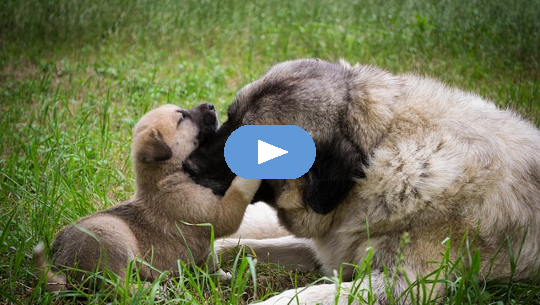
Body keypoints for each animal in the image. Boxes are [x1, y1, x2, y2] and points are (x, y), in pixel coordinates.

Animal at [33, 103, 262, 290]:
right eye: (182, 117)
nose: (211, 106)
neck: (167, 177)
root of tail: (60, 262)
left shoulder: (207, 245)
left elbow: (211, 261)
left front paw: (222, 276)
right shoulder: (218, 215)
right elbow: (238, 192)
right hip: (112, 237)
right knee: (117, 287)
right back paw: (151, 290)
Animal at [186, 58, 540, 302]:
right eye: (228, 118)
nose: (188, 166)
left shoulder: (407, 285)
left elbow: (308, 295)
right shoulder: (332, 250)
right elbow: (244, 245)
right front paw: (205, 259)